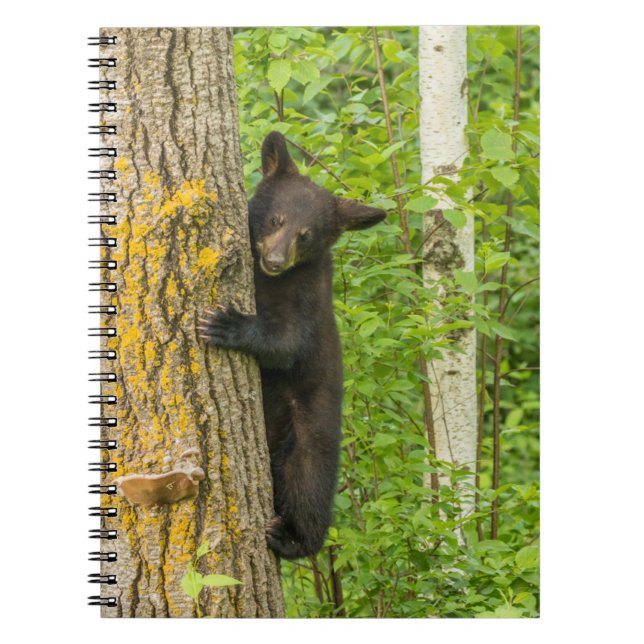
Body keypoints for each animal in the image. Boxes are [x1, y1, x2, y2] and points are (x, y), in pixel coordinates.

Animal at [199, 131, 386, 559]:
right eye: (276, 219)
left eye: (307, 235)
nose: (275, 260)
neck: (268, 281)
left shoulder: (307, 297)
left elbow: (286, 343)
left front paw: (227, 324)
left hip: (309, 433)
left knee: (307, 486)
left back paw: (292, 538)